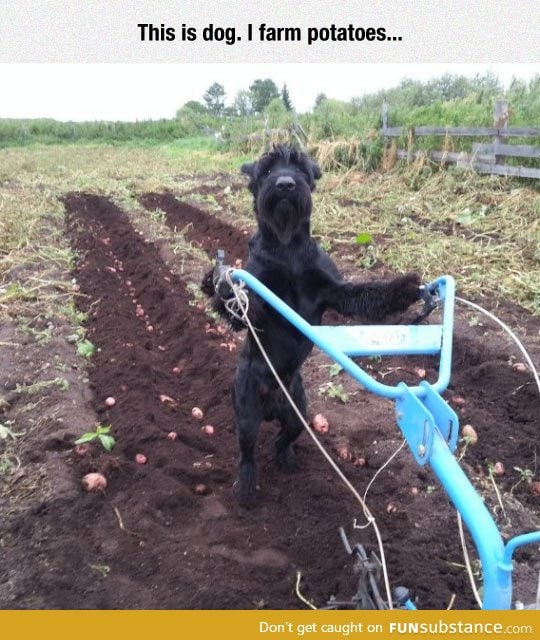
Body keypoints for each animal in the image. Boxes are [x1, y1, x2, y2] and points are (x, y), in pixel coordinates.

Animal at [205, 146, 420, 504]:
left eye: (300, 168)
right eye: (266, 170)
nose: (286, 184)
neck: (287, 244)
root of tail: (273, 405)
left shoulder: (334, 291)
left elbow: (367, 293)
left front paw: (404, 289)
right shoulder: (259, 299)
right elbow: (242, 308)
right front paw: (219, 286)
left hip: (298, 413)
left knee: (283, 437)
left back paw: (286, 458)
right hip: (246, 415)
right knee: (247, 452)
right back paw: (246, 488)